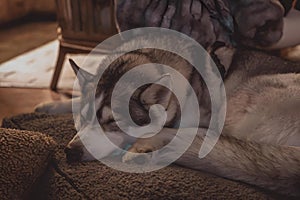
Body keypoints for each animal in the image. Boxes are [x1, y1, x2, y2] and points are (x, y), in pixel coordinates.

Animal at [35, 36, 300, 197]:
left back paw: (145, 145)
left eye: (112, 123)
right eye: (82, 119)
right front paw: (49, 105)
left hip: (243, 100)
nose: (71, 151)